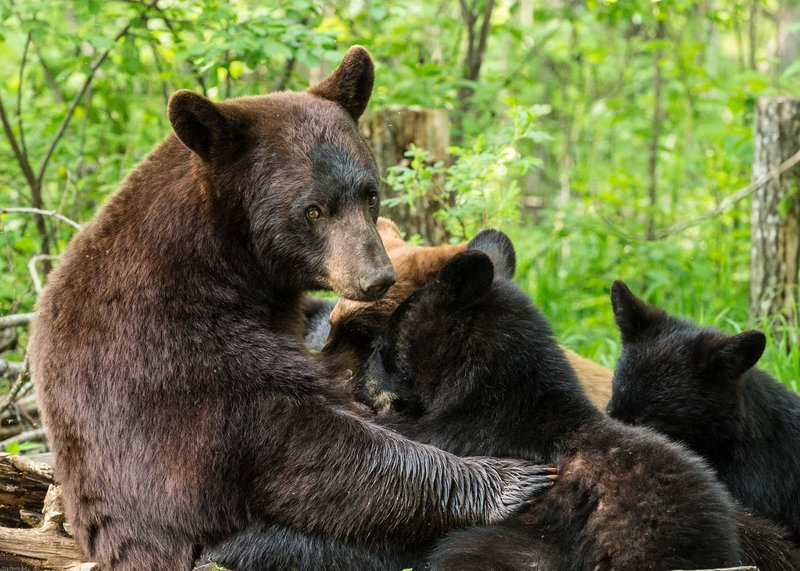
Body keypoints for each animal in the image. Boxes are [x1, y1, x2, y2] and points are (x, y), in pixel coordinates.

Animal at [28, 47, 554, 570]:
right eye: (313, 210)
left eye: (370, 193)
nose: (375, 276)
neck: (222, 255)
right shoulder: (171, 348)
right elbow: (303, 440)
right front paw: (508, 479)